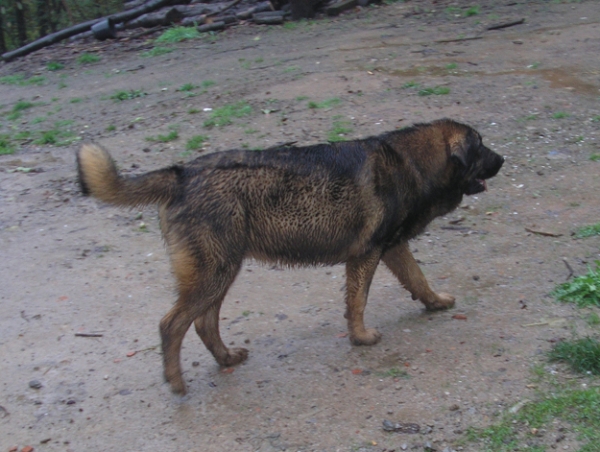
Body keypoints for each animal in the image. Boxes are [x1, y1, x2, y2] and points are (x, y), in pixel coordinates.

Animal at [77, 118, 504, 394]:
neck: (412, 163)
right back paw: (177, 382)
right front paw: (361, 337)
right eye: (481, 145)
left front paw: (435, 302)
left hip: (221, 272)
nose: (503, 160)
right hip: (214, 273)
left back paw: (226, 359)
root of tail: (181, 173)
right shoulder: (366, 255)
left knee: (203, 324)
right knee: (172, 325)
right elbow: (359, 302)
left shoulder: (393, 249)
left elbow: (418, 279)